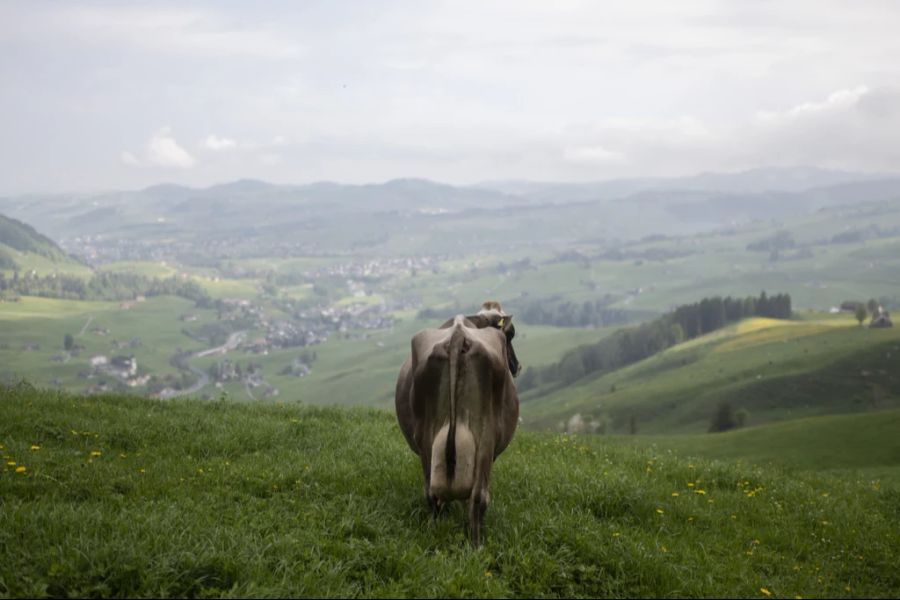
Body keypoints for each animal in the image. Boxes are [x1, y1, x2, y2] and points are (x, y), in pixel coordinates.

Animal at [396, 302, 520, 548]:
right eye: (510, 334)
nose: (517, 366)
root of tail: (458, 335)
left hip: (426, 437)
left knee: (431, 493)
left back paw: (435, 532)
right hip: (486, 436)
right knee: (479, 496)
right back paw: (477, 546)